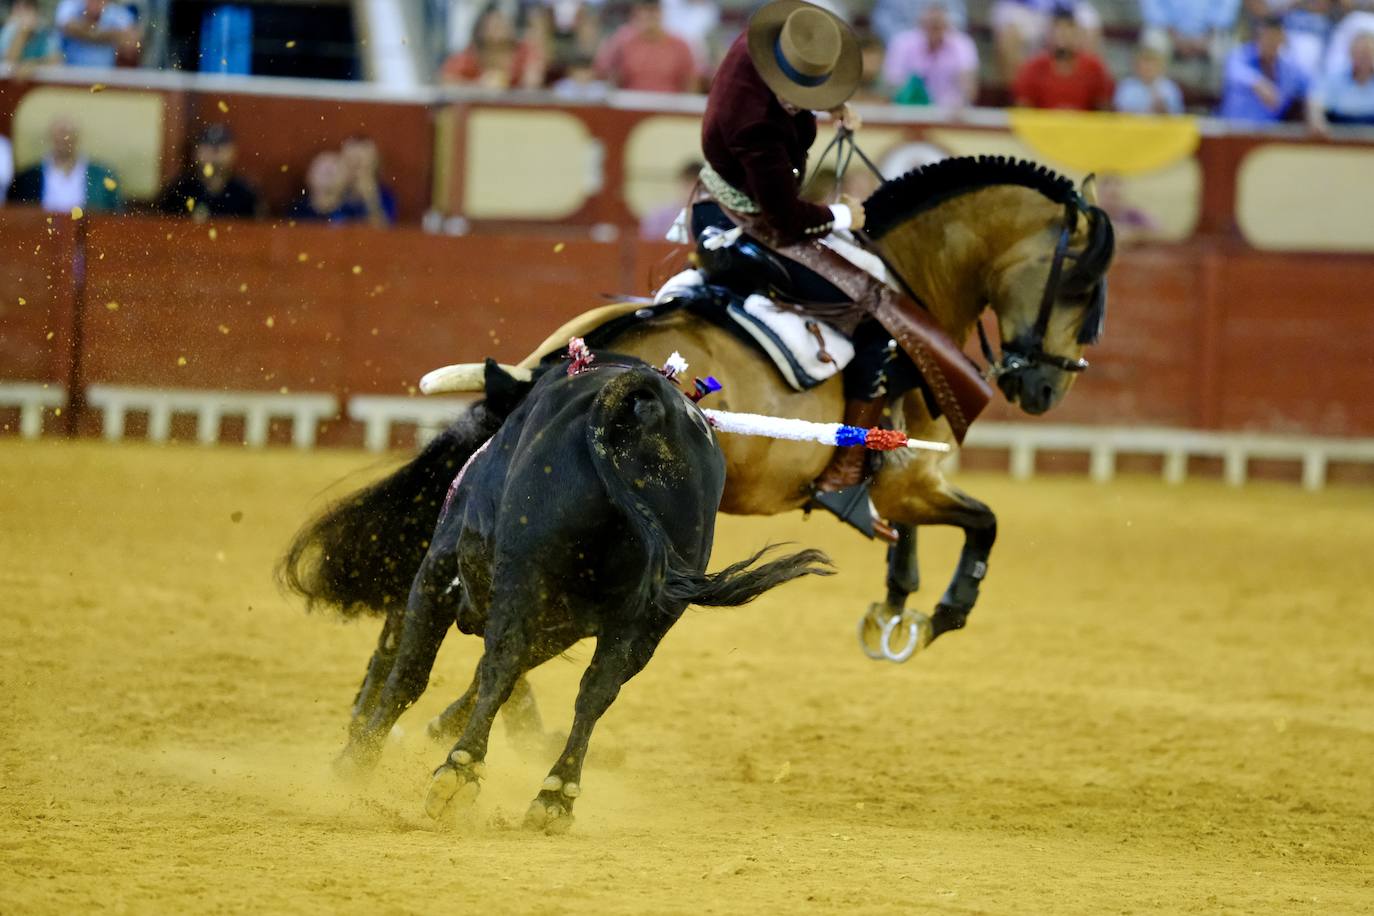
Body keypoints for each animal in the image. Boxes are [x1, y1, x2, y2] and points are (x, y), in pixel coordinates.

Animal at [278, 152, 1115, 752]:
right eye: (1079, 286)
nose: (1047, 386)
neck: (907, 289)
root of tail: (571, 366)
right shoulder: (912, 479)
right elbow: (985, 523)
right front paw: (941, 611)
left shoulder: (904, 485)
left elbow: (914, 535)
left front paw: (897, 604)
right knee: (514, 635)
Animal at [333, 362, 829, 829]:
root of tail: (647, 406)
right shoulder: (563, 625)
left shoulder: (438, 570)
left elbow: (412, 675)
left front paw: (357, 761)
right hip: (650, 615)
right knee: (597, 690)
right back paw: (554, 796)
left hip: (525, 568)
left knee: (502, 662)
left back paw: (460, 772)